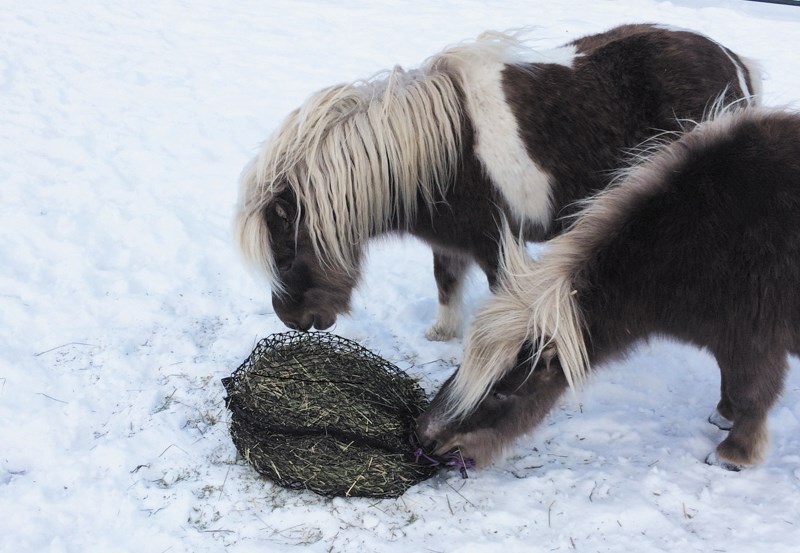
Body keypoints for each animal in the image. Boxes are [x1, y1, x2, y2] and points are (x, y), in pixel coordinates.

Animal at [234, 24, 760, 340]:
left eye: (287, 252)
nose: (294, 321)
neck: (446, 155)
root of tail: (733, 61)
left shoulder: (499, 244)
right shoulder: (449, 241)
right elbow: (446, 282)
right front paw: (443, 334)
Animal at [416, 106, 800, 470]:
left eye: (501, 392)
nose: (426, 437)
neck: (693, 246)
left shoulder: (753, 342)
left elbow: (751, 393)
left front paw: (732, 454)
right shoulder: (727, 339)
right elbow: (728, 379)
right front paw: (723, 414)